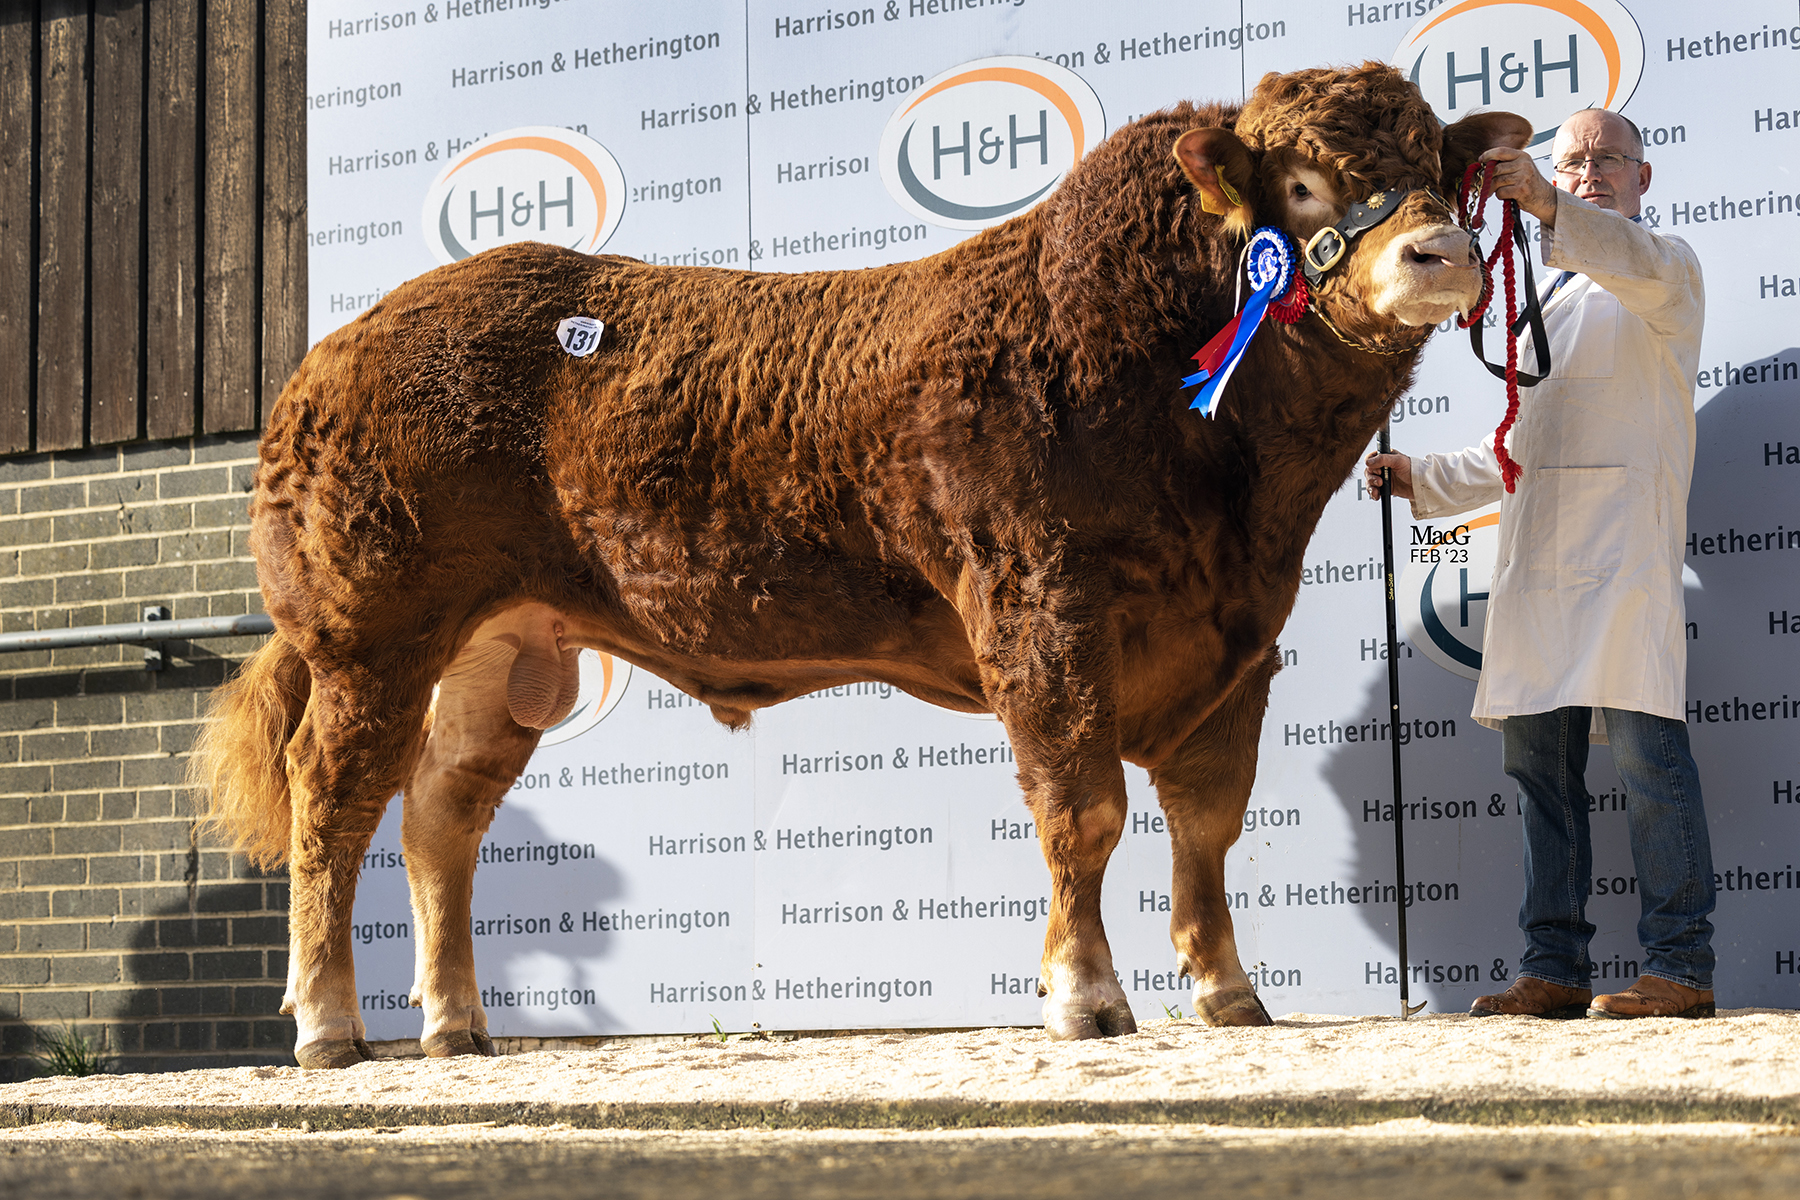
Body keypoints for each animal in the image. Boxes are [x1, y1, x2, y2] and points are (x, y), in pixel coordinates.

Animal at [193, 63, 1519, 1072]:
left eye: (1440, 165)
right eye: (1301, 181)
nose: (1442, 252)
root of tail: (343, 347)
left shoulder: (1240, 636)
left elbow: (1208, 820)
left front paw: (1229, 990)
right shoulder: (1040, 604)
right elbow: (1083, 805)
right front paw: (1086, 997)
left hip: (506, 652)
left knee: (441, 816)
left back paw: (457, 1025)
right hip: (371, 634)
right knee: (334, 801)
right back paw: (329, 1026)